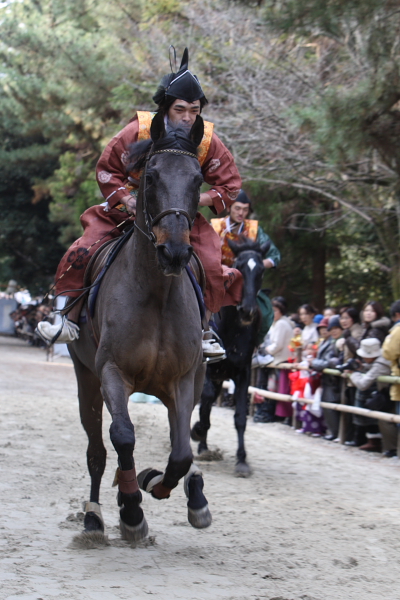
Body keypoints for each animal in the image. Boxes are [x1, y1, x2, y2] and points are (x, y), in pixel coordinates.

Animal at [68, 112, 212, 544]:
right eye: (151, 176)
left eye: (197, 179)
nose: (175, 250)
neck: (157, 293)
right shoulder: (111, 370)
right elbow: (122, 436)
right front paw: (132, 510)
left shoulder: (182, 379)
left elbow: (180, 453)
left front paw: (153, 481)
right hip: (86, 377)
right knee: (98, 451)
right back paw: (95, 515)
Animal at [191, 237, 272, 476]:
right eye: (240, 267)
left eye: (261, 270)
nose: (247, 310)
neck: (233, 330)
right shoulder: (208, 369)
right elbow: (205, 401)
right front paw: (196, 430)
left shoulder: (242, 373)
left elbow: (241, 417)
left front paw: (242, 460)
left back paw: (203, 445)